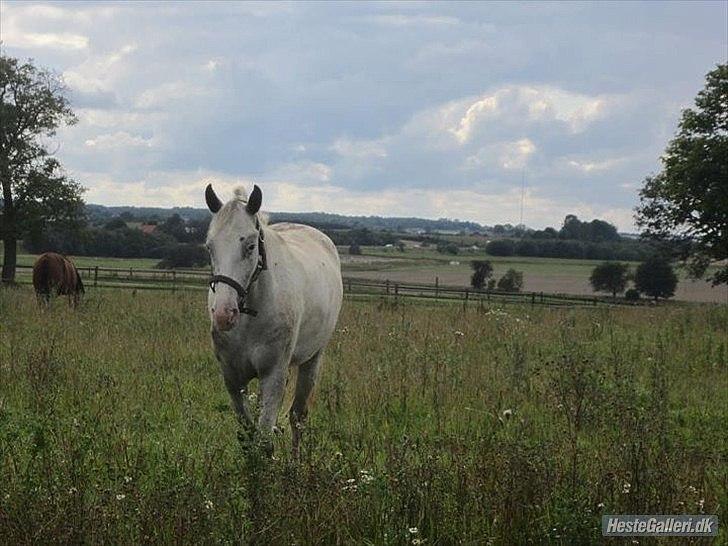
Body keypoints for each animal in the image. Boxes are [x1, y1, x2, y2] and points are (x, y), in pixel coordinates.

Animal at [203, 185, 342, 452]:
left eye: (250, 246)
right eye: (209, 247)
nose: (224, 315)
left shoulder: (273, 375)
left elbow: (264, 439)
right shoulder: (232, 377)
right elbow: (248, 434)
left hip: (313, 358)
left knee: (298, 416)